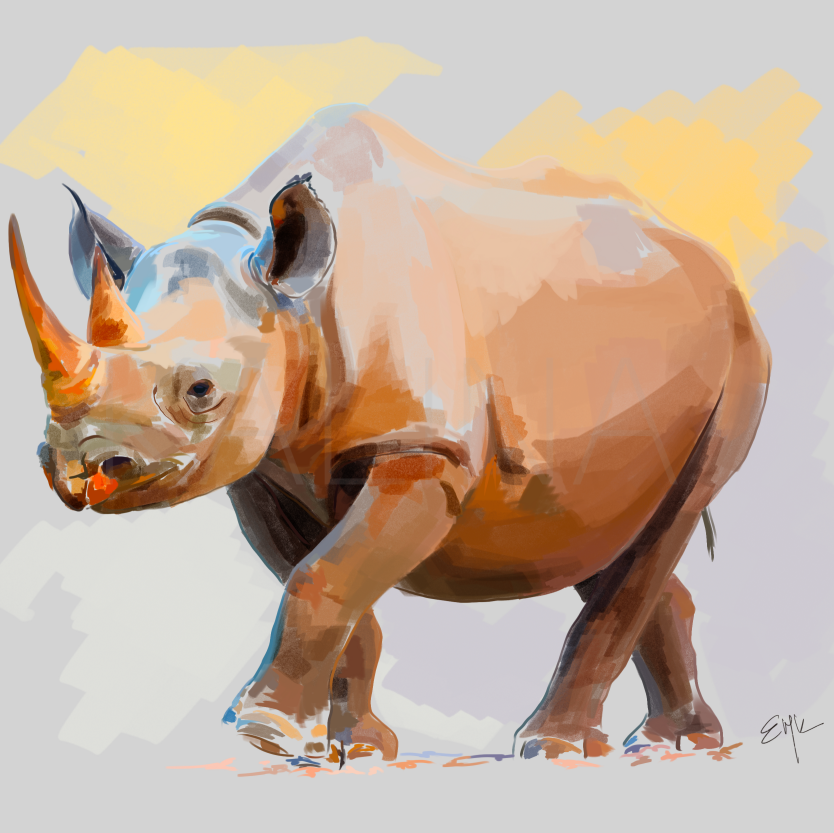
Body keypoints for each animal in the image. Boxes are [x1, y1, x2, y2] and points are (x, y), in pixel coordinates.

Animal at [9, 103, 770, 765]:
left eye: (200, 392)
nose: (78, 471)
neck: (290, 297)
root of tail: (713, 264)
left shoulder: (425, 446)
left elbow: (323, 576)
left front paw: (261, 733)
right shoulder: (264, 467)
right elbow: (331, 584)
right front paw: (346, 748)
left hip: (741, 351)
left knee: (667, 518)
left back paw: (554, 747)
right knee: (601, 530)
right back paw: (673, 742)